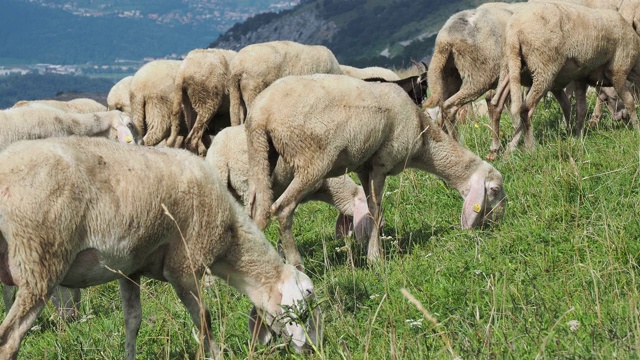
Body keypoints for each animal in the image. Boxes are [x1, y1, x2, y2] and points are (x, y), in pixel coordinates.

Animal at [0, 136, 322, 360]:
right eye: (305, 303)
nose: (313, 349)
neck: (230, 236)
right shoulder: (185, 267)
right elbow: (204, 319)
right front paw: (216, 354)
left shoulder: (129, 269)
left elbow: (133, 321)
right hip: (39, 260)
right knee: (9, 339)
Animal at [248, 74, 508, 262]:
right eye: (494, 190)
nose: (498, 222)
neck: (423, 137)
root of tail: (262, 112)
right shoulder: (382, 163)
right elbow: (376, 209)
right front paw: (377, 257)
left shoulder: (364, 167)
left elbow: (372, 208)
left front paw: (373, 252)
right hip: (311, 159)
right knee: (283, 209)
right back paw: (296, 263)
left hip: (265, 160)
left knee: (255, 211)